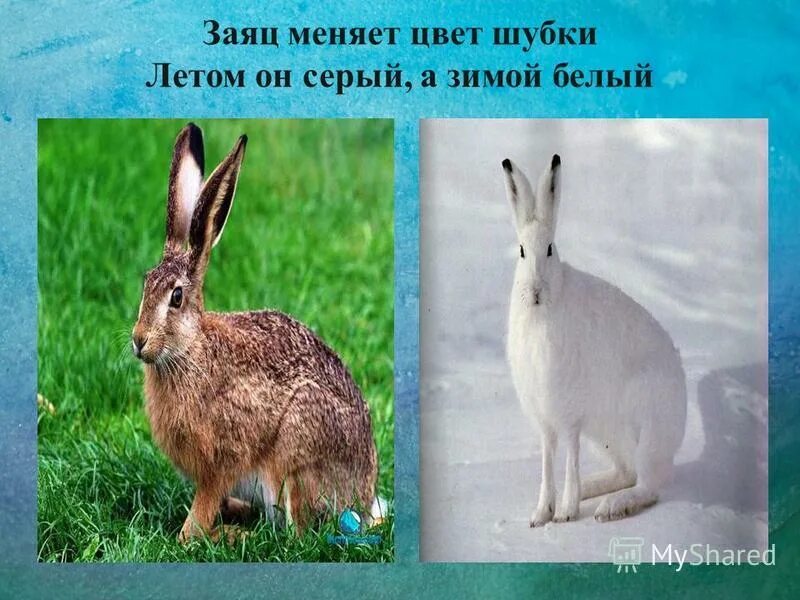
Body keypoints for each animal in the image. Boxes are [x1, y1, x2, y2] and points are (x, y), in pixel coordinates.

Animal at [131, 123, 381, 543]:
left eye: (176, 297)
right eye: (145, 284)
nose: (138, 340)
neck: (191, 351)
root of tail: (362, 499)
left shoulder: (222, 460)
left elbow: (197, 518)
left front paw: (191, 534)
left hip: (296, 452)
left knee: (298, 534)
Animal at [501, 154, 687, 526]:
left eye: (549, 250)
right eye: (521, 252)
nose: (535, 292)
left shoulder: (570, 412)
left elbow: (568, 455)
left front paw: (565, 513)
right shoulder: (545, 419)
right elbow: (547, 459)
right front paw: (540, 515)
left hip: (645, 422)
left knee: (648, 485)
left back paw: (611, 507)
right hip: (606, 435)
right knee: (627, 472)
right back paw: (592, 490)